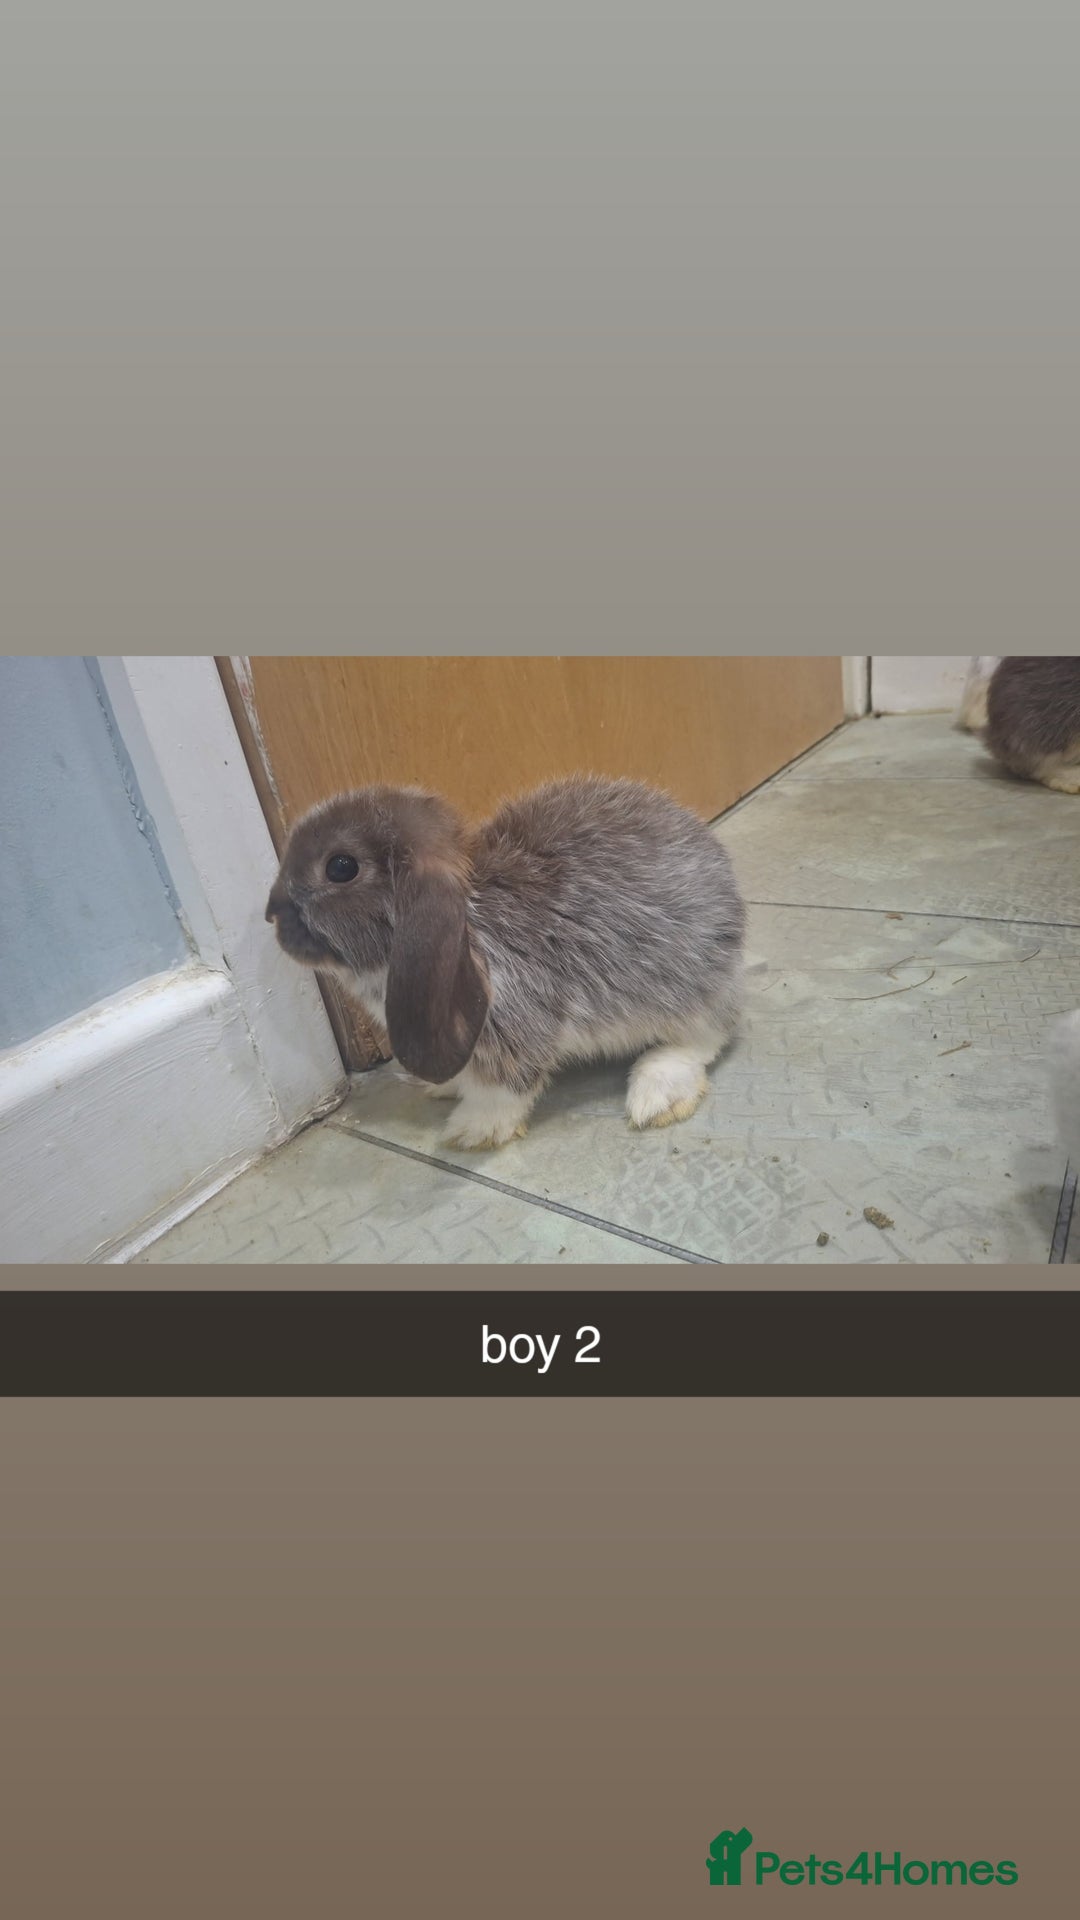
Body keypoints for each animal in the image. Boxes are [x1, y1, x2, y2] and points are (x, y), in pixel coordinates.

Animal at [265, 774, 746, 1149]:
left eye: (340, 867)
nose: (272, 912)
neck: (472, 917)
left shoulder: (516, 1025)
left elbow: (504, 1087)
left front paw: (472, 1131)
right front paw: (443, 1088)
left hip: (686, 987)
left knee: (704, 1038)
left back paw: (657, 1095)